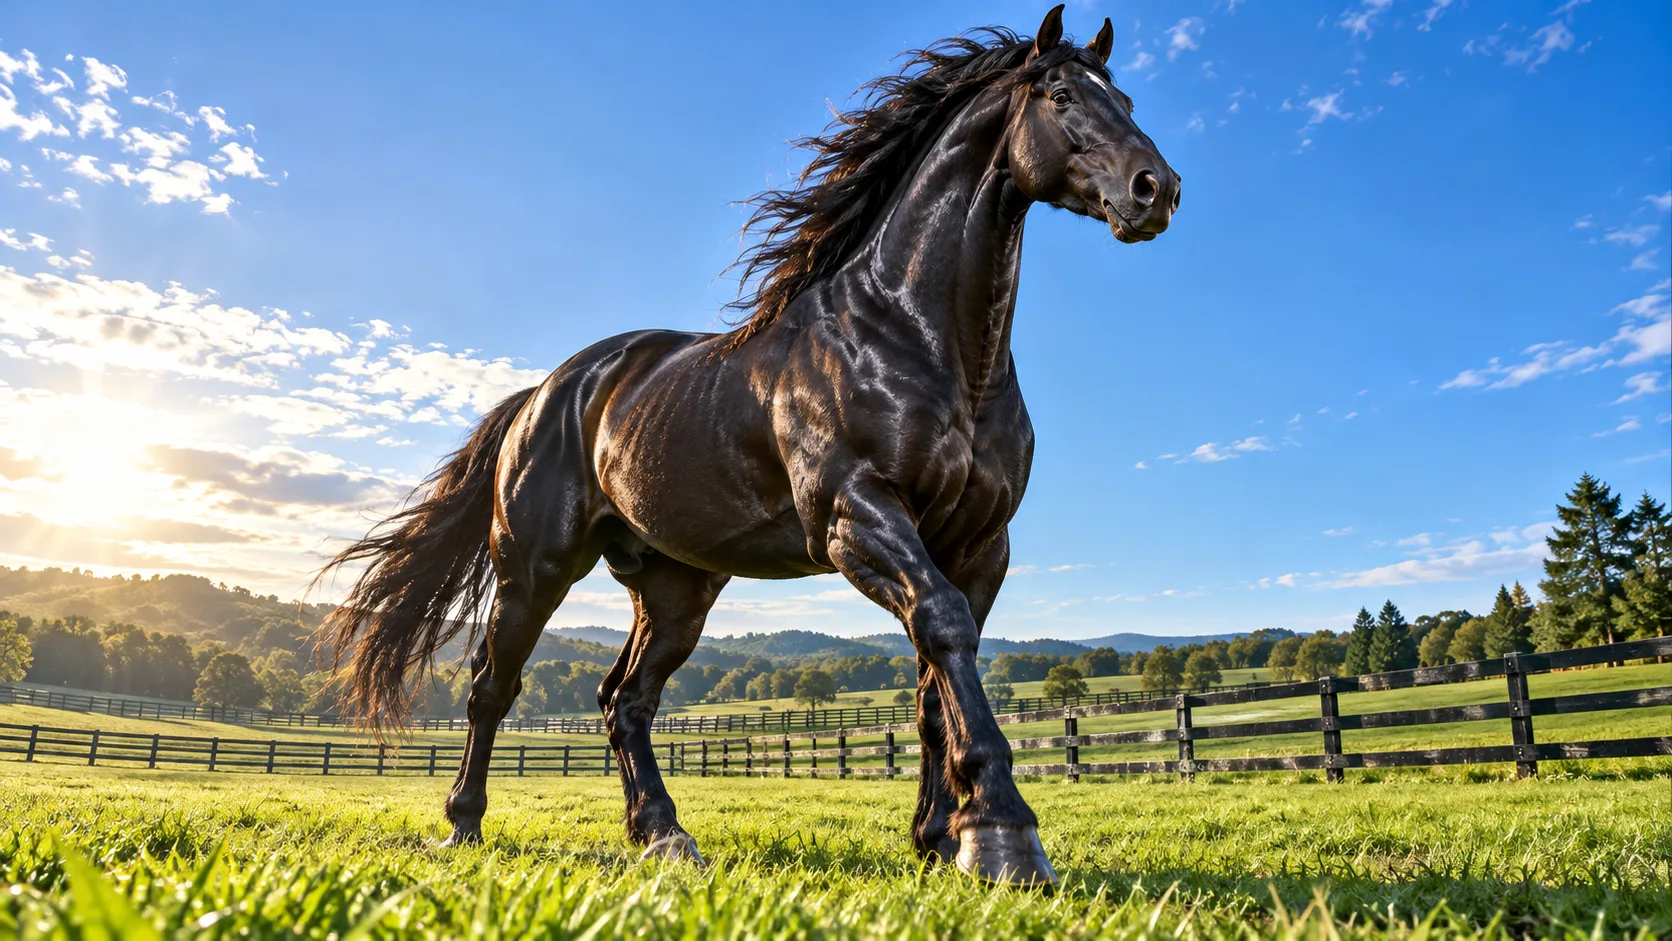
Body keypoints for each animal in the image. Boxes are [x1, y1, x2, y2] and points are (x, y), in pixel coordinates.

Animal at [320, 5, 1178, 887]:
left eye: (1127, 99)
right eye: (1061, 94)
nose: (1157, 189)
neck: (918, 340)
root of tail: (547, 393)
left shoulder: (979, 542)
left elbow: (933, 676)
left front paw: (942, 836)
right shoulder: (857, 518)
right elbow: (943, 629)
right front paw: (1003, 832)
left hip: (675, 588)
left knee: (624, 700)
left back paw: (663, 835)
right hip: (535, 567)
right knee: (495, 686)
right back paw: (464, 824)